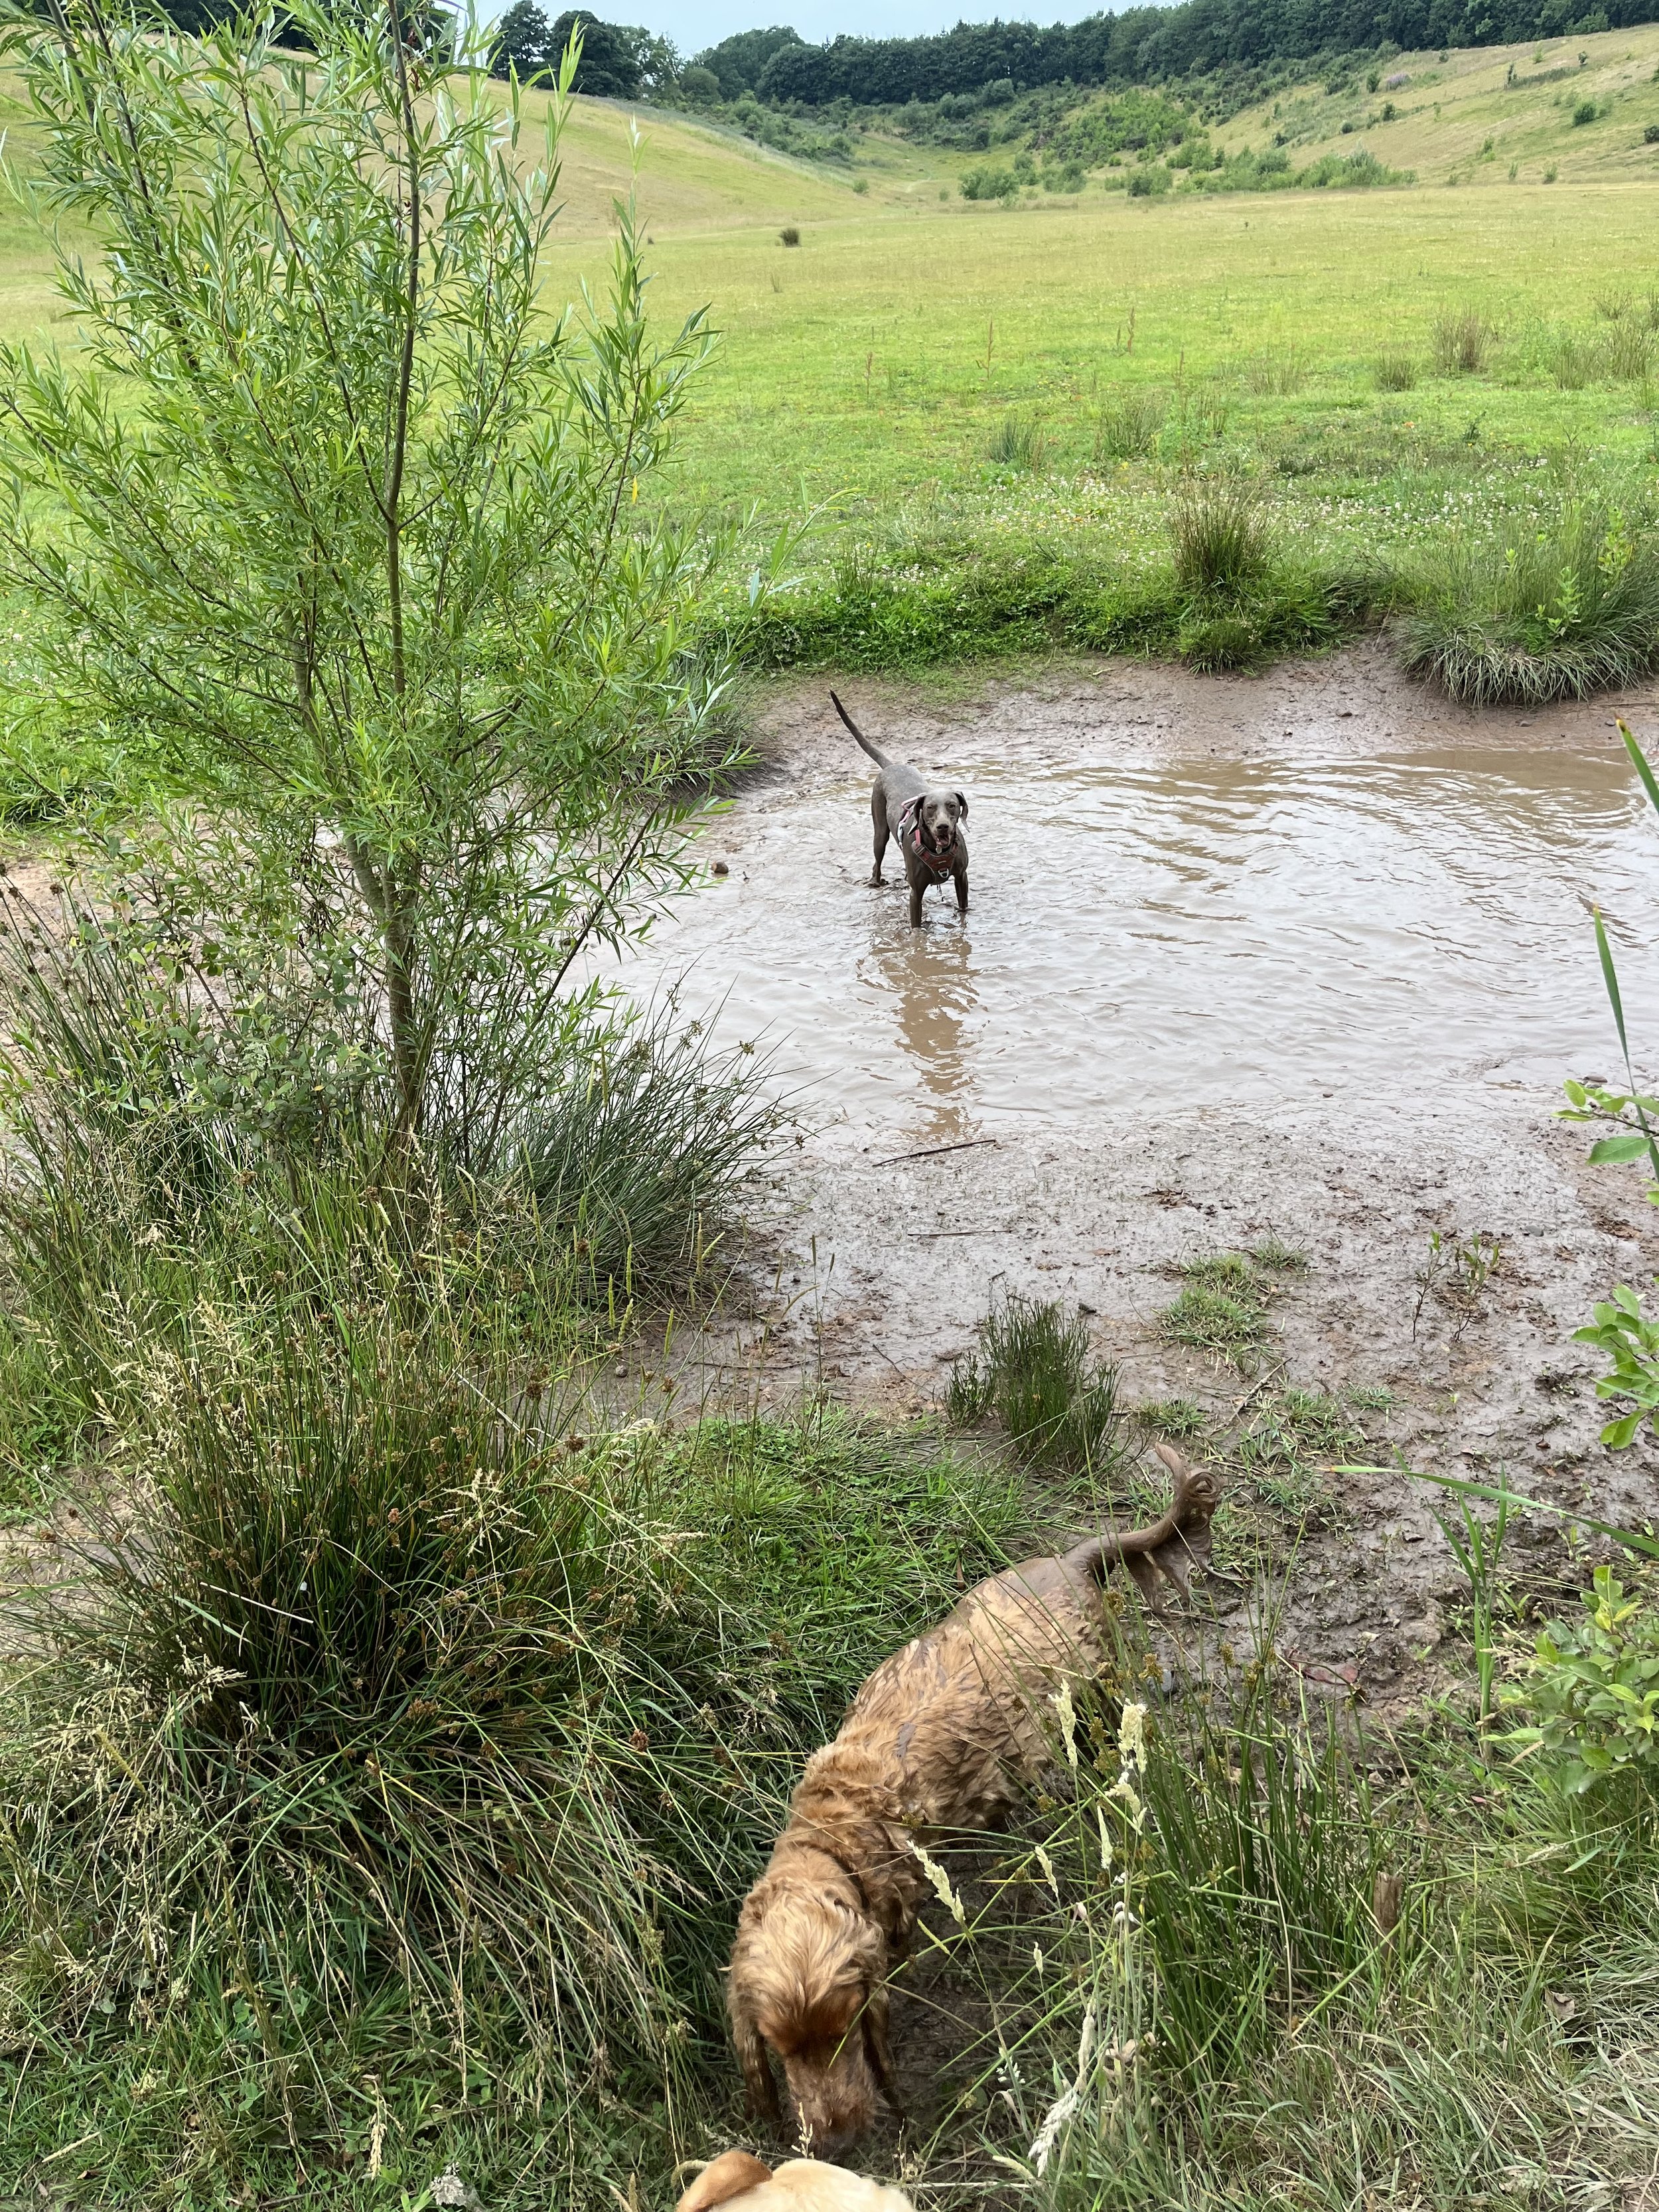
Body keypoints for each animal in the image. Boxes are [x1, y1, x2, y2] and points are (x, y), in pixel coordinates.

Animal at [725, 1442, 1221, 2150]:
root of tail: (1072, 1561)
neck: (832, 1834)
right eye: (781, 2045)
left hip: (1095, 1695)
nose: (838, 2138)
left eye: (847, 2030)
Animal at [831, 694, 973, 928]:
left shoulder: (962, 878)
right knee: (877, 862)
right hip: (879, 832)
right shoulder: (916, 894)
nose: (943, 827)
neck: (938, 851)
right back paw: (875, 882)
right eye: (930, 808)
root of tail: (890, 766)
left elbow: (963, 910)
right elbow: (916, 926)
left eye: (952, 805)